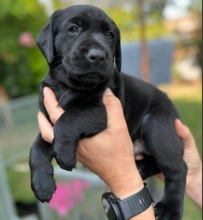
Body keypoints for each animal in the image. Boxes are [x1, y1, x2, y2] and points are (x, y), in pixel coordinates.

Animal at [29, 5, 188, 220]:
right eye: (73, 29)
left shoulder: (99, 111)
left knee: (178, 168)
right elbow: (36, 149)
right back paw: (140, 169)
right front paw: (42, 185)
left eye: (110, 35)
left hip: (156, 124)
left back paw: (170, 208)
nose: (97, 55)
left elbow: (68, 119)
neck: (69, 86)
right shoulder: (47, 120)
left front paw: (64, 153)